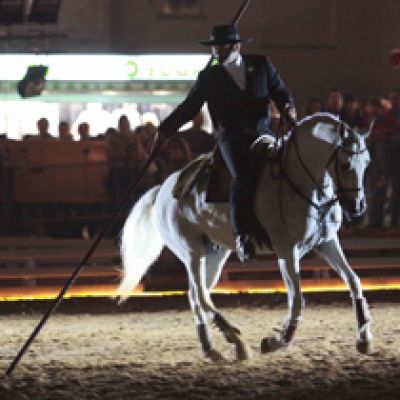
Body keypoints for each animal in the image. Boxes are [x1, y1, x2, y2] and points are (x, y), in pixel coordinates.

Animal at [115, 114, 372, 360]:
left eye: (367, 162)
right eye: (346, 163)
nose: (358, 206)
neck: (298, 180)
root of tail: (163, 190)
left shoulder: (327, 243)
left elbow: (354, 281)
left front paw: (364, 338)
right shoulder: (287, 250)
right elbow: (297, 300)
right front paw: (276, 341)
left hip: (214, 254)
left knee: (196, 295)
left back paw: (210, 348)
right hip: (191, 251)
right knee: (201, 295)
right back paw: (236, 341)